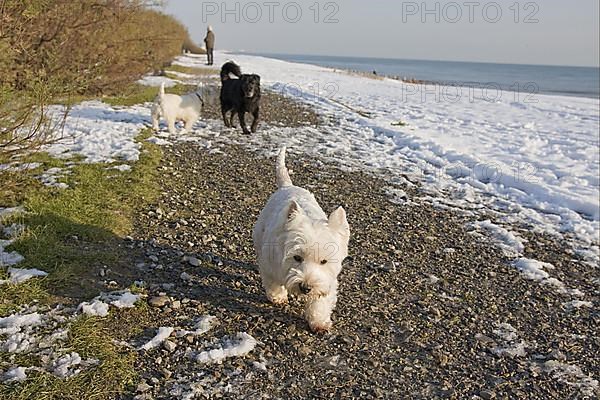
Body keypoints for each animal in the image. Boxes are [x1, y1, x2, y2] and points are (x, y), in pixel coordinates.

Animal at [252, 146, 346, 332]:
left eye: (324, 261)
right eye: (297, 257)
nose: (305, 287)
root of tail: (288, 186)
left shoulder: (326, 280)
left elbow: (321, 300)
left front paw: (319, 322)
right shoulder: (269, 264)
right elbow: (273, 282)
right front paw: (278, 297)